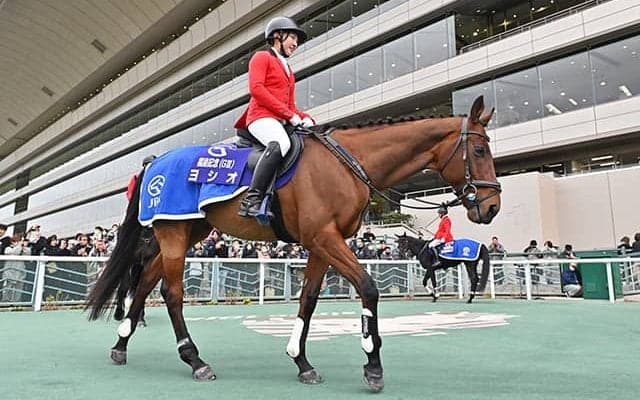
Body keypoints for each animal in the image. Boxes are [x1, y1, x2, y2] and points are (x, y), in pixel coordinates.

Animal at [86, 96, 501, 392]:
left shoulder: (321, 244)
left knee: (145, 280)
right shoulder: (325, 237)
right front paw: (372, 364)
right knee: (170, 292)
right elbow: (368, 288)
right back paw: (195, 360)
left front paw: (301, 361)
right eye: (480, 151)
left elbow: (309, 301)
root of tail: (155, 161)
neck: (348, 163)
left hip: (189, 231)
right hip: (173, 233)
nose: (492, 206)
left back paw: (121, 345)